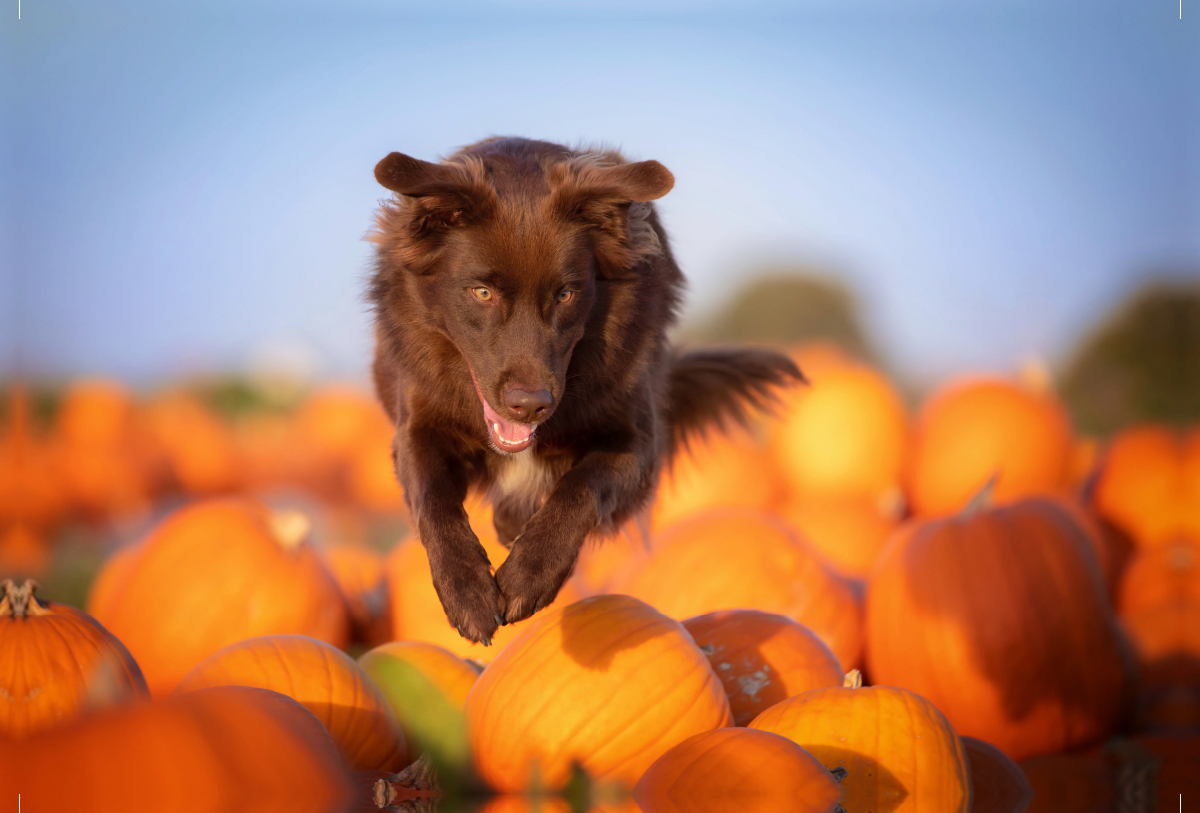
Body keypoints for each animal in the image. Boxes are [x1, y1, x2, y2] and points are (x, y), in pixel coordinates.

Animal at [364, 136, 796, 647]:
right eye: (482, 292)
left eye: (565, 295)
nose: (530, 406)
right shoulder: (417, 428)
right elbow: (433, 500)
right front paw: (466, 591)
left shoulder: (638, 445)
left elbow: (580, 487)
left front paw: (530, 574)